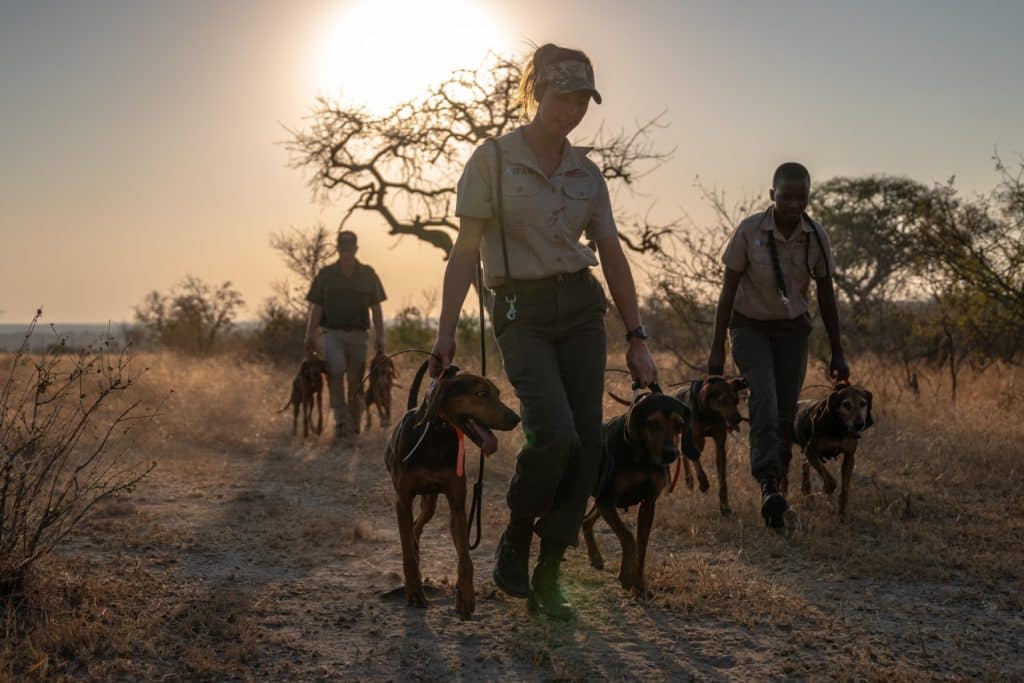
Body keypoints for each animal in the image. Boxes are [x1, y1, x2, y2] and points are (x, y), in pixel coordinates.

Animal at [382, 362, 516, 618]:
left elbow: (465, 556)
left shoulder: (457, 505)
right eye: (481, 394)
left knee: (417, 527)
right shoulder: (402, 501)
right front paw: (414, 591)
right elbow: (406, 553)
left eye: (497, 393)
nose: (516, 418)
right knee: (411, 533)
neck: (437, 434)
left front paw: (465, 595)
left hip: (430, 503)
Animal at [585, 387, 688, 602]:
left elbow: (642, 548)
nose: (671, 454)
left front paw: (639, 585)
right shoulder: (607, 499)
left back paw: (595, 556)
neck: (642, 456)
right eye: (652, 423)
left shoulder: (648, 504)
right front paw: (626, 574)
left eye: (680, 424)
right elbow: (628, 537)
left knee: (585, 520)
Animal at [790, 378, 872, 518]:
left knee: (805, 470)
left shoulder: (849, 458)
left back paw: (807, 494)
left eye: (863, 404)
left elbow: (844, 491)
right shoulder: (811, 452)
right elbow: (830, 481)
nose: (859, 425)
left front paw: (842, 516)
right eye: (846, 404)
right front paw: (826, 493)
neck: (838, 428)